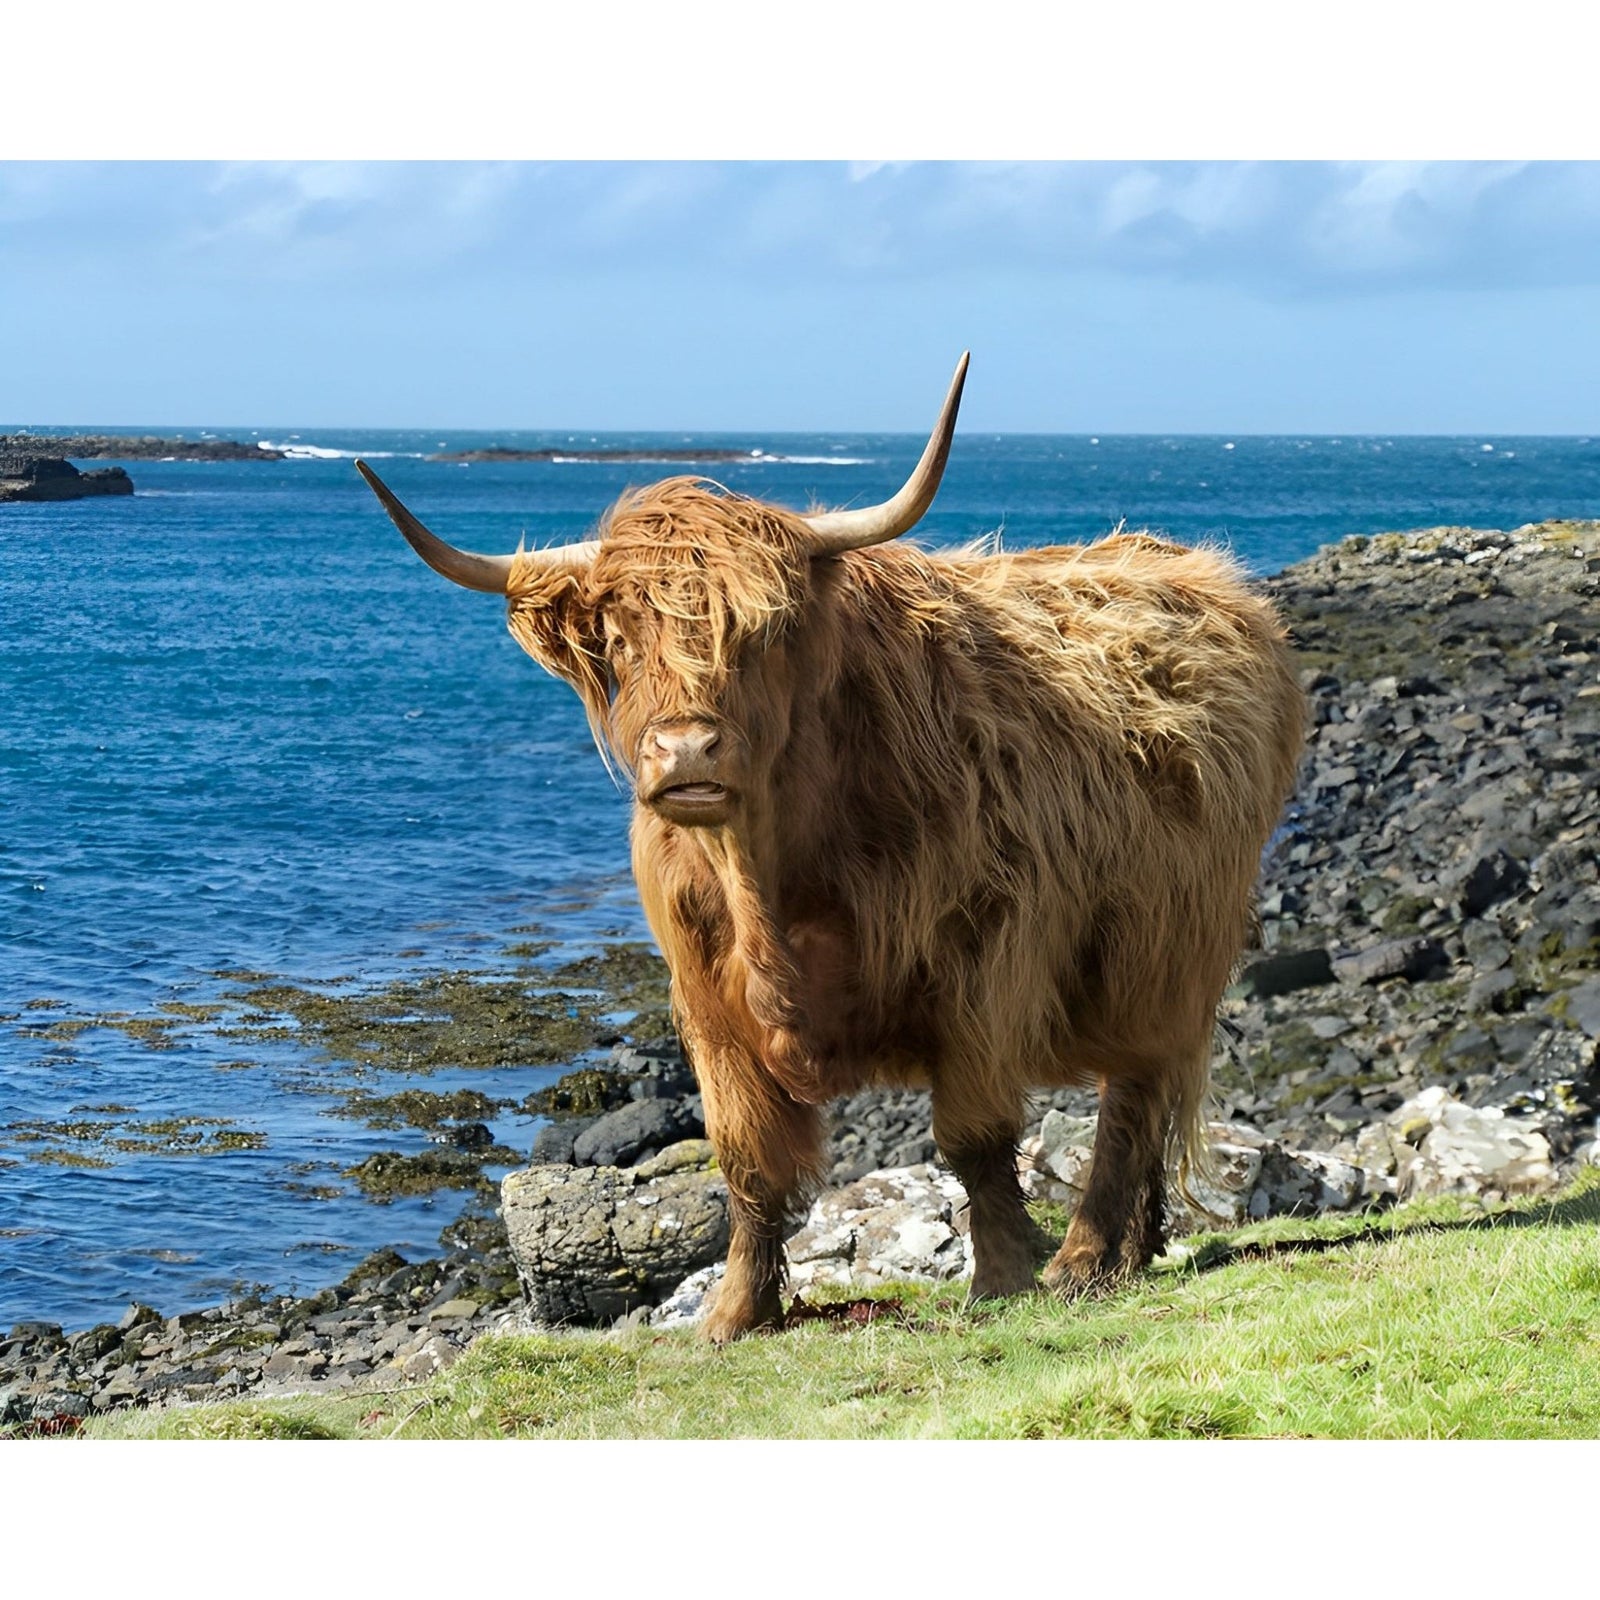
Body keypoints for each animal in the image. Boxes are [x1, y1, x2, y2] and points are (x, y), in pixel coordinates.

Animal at [356, 356, 1305, 1344]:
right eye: (619, 636)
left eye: (764, 632)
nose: (687, 752)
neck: (771, 875)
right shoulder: (706, 1002)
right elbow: (744, 1159)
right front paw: (735, 1313)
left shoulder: (985, 959)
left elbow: (973, 1138)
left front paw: (1003, 1278)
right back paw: (1134, 1251)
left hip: (1171, 950)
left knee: (1131, 1097)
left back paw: (1084, 1258)